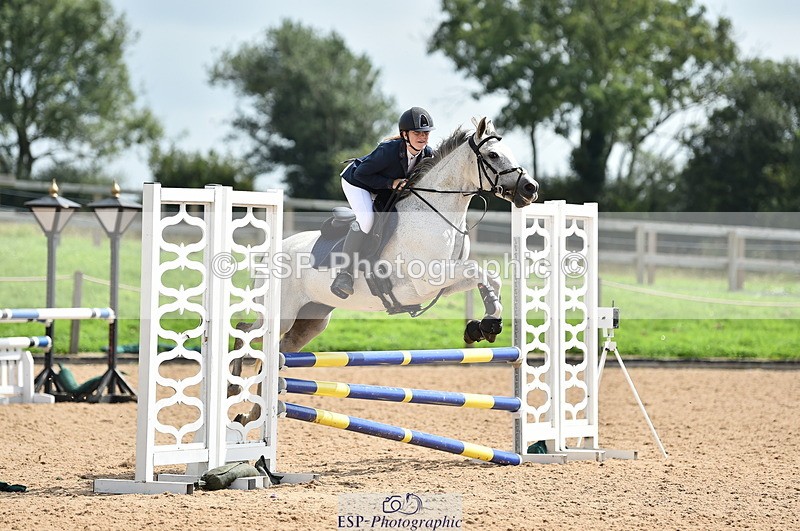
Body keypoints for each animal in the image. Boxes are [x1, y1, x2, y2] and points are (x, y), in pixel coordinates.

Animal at [231, 117, 538, 423]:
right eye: (493, 155)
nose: (530, 189)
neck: (435, 215)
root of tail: (272, 251)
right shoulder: (428, 280)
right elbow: (478, 271)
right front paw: (485, 324)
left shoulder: (445, 282)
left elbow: (489, 277)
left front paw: (485, 326)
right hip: (282, 313)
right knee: (246, 332)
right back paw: (235, 391)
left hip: (312, 320)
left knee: (277, 354)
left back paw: (253, 415)